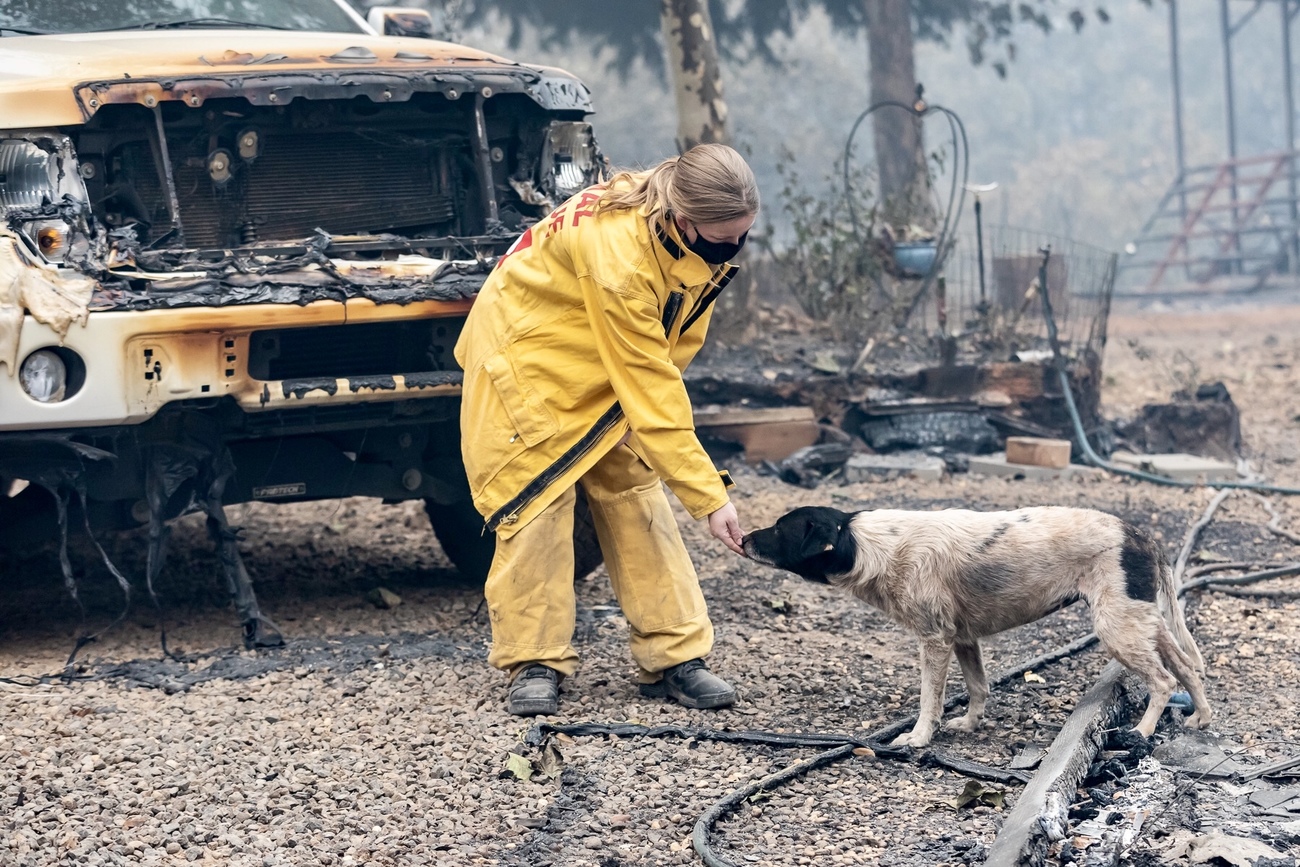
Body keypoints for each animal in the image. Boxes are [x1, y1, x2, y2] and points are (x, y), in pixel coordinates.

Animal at [748, 504, 1211, 748]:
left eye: (780, 529)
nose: (744, 536)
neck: (862, 544)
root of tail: (1140, 535)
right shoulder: (964, 639)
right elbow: (978, 687)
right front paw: (970, 725)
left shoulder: (934, 641)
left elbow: (929, 700)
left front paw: (918, 738)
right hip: (1141, 622)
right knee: (1187, 668)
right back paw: (1200, 719)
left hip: (1118, 629)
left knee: (1164, 680)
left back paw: (1143, 730)